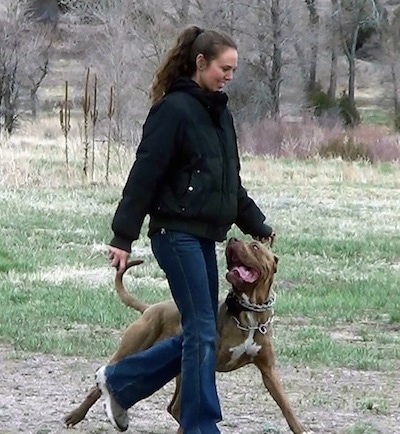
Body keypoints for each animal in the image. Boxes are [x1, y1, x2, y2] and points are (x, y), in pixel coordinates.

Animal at [64, 239, 310, 432]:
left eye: (255, 246)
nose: (232, 239)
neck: (249, 313)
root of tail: (150, 308)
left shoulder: (268, 371)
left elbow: (286, 406)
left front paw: (300, 427)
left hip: (179, 369)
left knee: (174, 407)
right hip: (133, 348)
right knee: (102, 386)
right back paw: (76, 415)